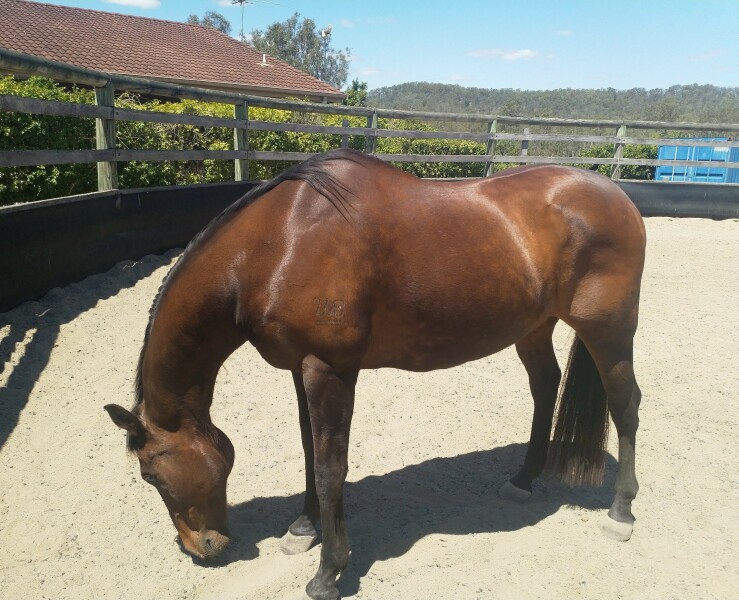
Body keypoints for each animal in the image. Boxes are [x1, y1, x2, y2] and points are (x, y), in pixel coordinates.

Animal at [105, 149, 645, 600]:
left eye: (150, 474)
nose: (201, 548)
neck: (278, 244)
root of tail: (615, 195)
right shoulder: (300, 368)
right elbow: (310, 451)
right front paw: (303, 528)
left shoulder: (330, 370)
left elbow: (330, 467)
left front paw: (328, 573)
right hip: (533, 326)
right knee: (545, 387)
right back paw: (524, 478)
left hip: (608, 331)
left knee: (626, 405)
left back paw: (621, 512)